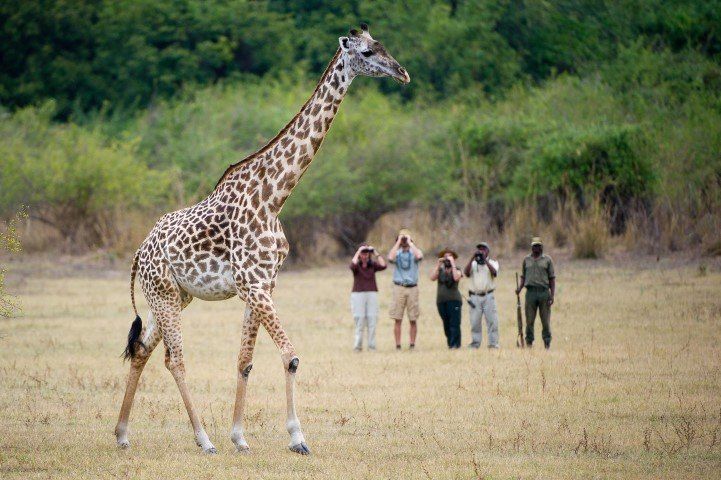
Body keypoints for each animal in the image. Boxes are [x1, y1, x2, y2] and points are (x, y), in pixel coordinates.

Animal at [114, 23, 410, 456]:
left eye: (382, 45)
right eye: (368, 52)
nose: (402, 73)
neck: (274, 197)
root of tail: (139, 251)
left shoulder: (264, 284)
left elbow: (245, 361)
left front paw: (240, 436)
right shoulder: (252, 284)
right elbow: (290, 357)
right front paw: (297, 438)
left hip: (172, 296)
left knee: (141, 350)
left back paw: (121, 434)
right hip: (165, 295)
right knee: (175, 360)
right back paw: (203, 440)